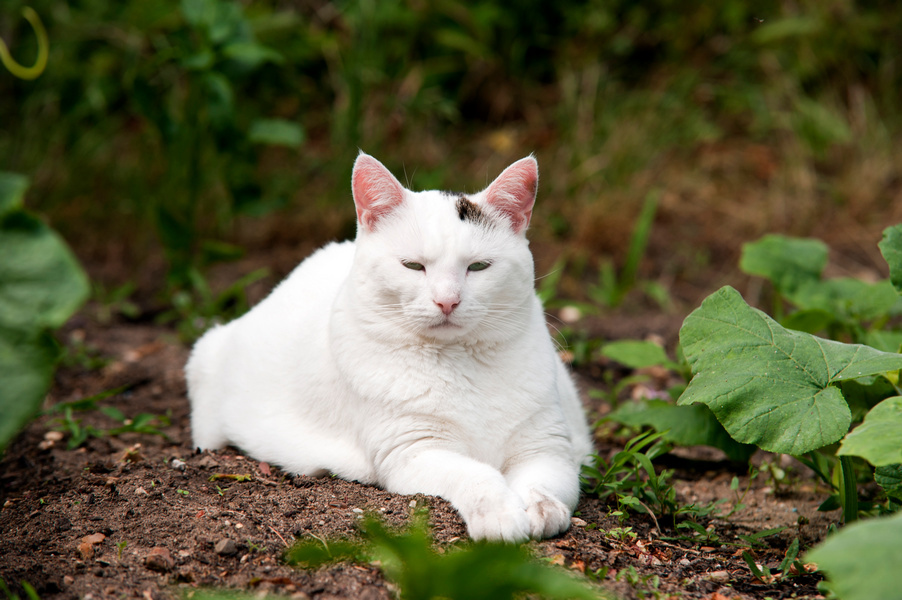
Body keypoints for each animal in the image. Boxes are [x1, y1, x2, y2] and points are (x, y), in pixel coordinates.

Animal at [185, 152, 592, 540]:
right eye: (413, 266)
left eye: (478, 267)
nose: (447, 301)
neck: (461, 363)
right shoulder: (414, 451)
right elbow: (477, 475)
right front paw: (501, 515)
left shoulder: (548, 448)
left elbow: (542, 485)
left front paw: (542, 510)